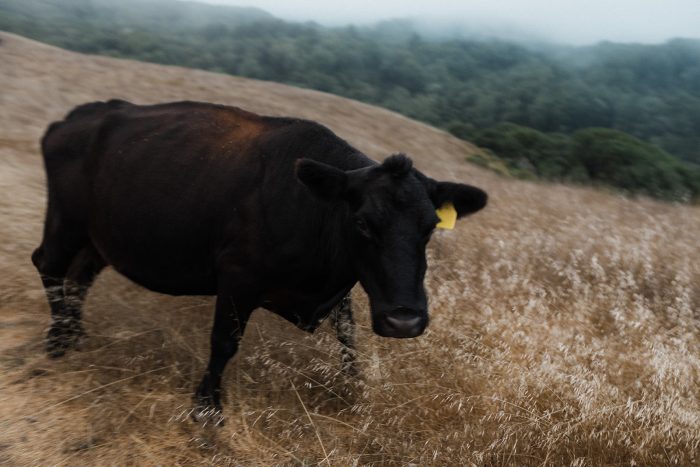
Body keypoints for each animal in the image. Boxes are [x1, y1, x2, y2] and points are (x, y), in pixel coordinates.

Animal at [32, 99, 487, 419]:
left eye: (430, 226)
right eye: (361, 223)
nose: (404, 320)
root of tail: (84, 113)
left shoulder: (339, 286)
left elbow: (349, 340)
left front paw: (355, 394)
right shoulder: (238, 278)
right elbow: (224, 342)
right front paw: (207, 409)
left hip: (100, 236)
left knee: (79, 278)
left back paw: (75, 335)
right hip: (67, 220)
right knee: (49, 264)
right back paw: (57, 342)